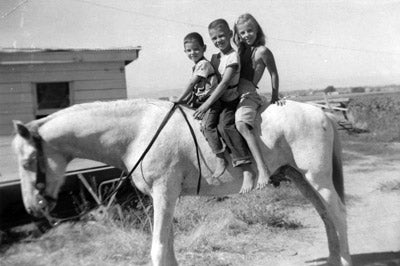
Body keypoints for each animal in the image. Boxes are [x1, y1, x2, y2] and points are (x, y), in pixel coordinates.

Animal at [11, 99, 350, 266]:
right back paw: (333, 259)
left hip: (317, 178)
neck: (139, 130)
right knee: (326, 216)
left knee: (338, 215)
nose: (33, 208)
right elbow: (168, 246)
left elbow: (159, 249)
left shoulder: (164, 193)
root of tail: (321, 112)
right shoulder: (164, 197)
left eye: (27, 162)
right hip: (299, 177)